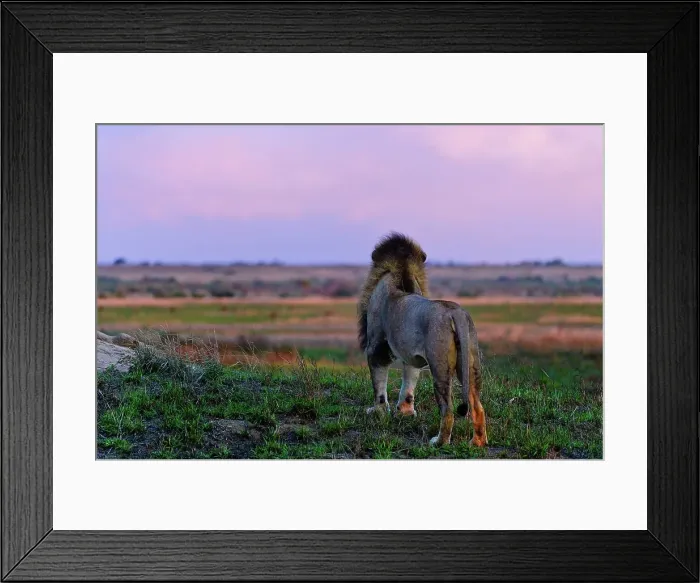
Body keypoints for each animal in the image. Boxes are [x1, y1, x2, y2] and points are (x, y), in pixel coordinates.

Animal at [357, 232, 487, 447]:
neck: (400, 271)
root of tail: (455, 313)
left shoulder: (376, 348)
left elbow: (379, 386)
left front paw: (378, 412)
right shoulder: (412, 355)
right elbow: (409, 385)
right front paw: (405, 413)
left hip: (440, 364)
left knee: (448, 409)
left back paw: (439, 442)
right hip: (470, 363)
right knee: (477, 406)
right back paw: (477, 443)